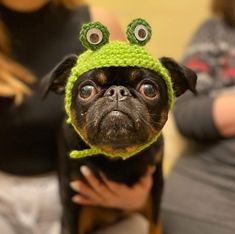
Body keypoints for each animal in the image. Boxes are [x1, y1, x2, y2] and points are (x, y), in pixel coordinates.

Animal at [41, 19, 196, 234]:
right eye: (86, 90)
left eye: (149, 89)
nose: (117, 91)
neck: (115, 155)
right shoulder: (71, 195)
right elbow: (71, 227)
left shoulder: (155, 184)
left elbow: (155, 223)